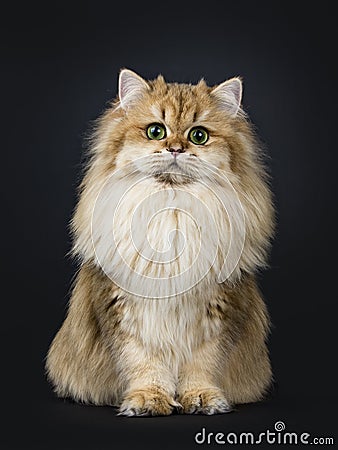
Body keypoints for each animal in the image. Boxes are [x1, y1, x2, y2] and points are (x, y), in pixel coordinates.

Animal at [45, 68, 274, 416]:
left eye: (198, 136)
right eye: (156, 131)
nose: (176, 148)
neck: (172, 209)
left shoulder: (218, 312)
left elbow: (202, 365)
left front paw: (201, 399)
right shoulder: (123, 311)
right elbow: (144, 364)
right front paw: (149, 400)